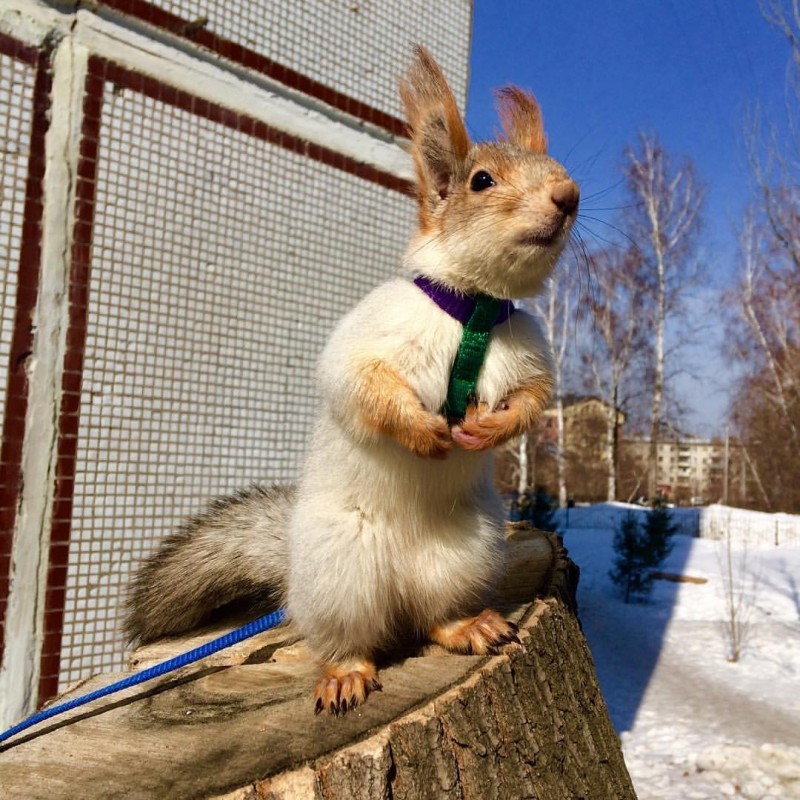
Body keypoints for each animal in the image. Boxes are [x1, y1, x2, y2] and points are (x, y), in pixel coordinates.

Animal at [123, 47, 580, 716]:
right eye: (481, 181)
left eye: (559, 168)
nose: (568, 195)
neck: (472, 309)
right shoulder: (366, 340)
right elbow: (363, 387)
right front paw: (422, 432)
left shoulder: (530, 356)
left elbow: (532, 401)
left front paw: (491, 427)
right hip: (343, 574)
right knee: (348, 639)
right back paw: (345, 674)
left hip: (464, 557)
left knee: (433, 617)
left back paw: (469, 626)